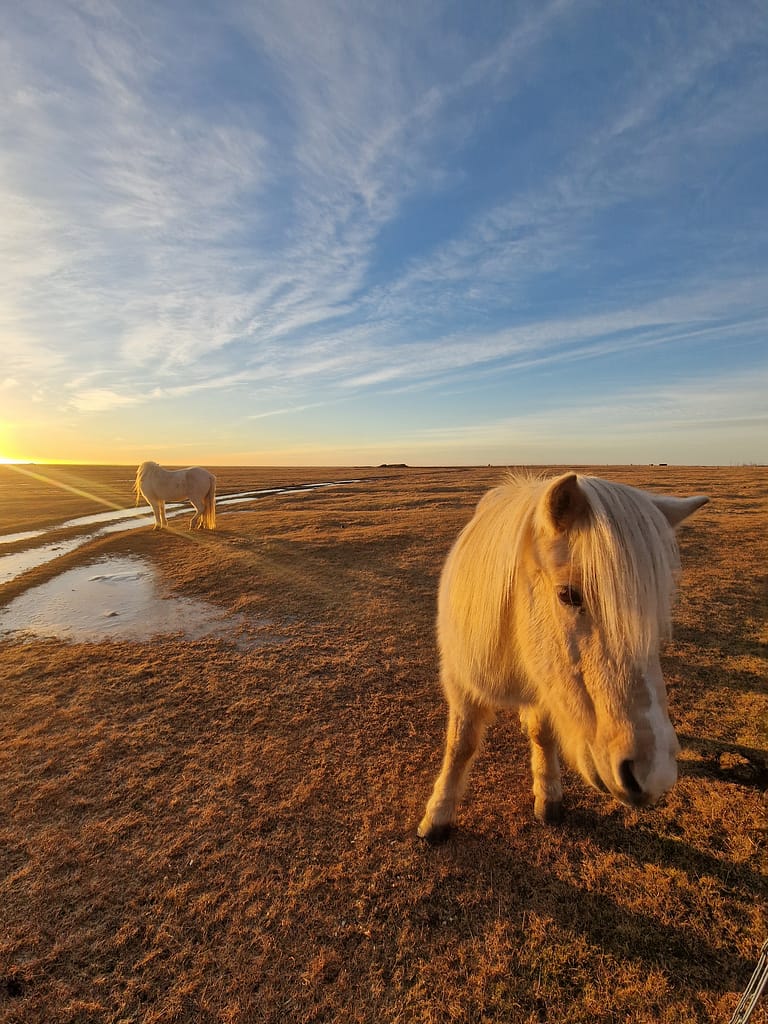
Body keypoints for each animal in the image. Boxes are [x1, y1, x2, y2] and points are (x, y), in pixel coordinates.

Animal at [417, 471, 709, 842]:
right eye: (568, 594)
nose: (653, 772)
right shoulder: (462, 684)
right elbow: (461, 745)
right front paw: (437, 816)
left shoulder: (546, 689)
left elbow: (542, 735)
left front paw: (548, 794)